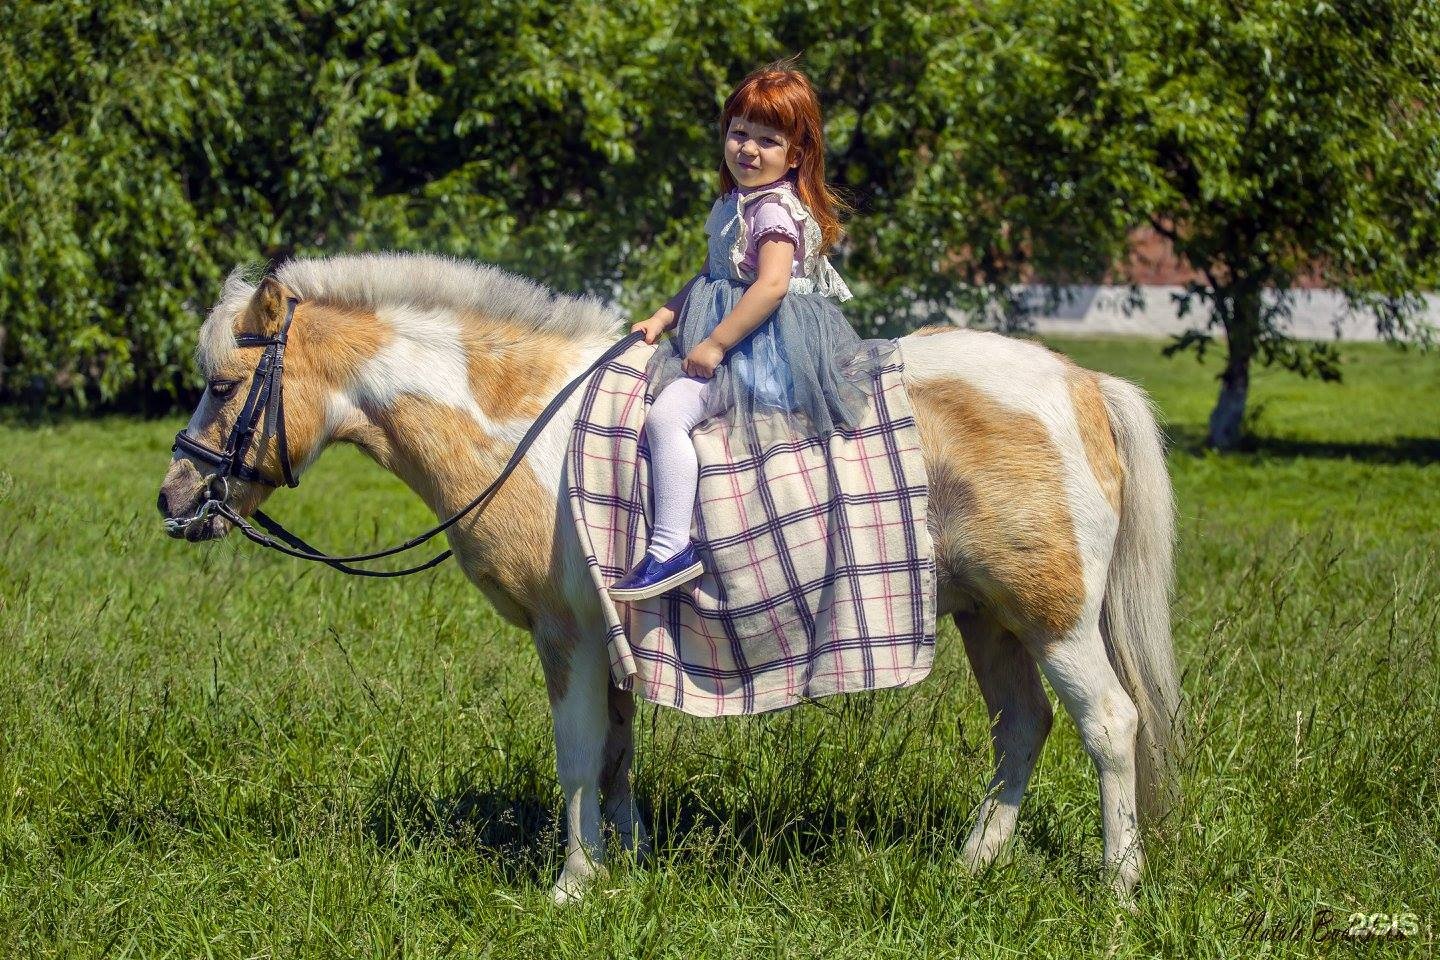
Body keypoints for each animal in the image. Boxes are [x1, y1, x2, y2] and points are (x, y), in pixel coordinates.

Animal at [160, 251, 1180, 903]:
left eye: (221, 385)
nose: (174, 499)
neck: (528, 427)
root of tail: (1081, 384)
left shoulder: (567, 636)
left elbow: (578, 753)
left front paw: (572, 886)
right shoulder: (610, 639)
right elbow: (615, 751)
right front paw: (626, 864)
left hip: (1054, 619)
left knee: (1108, 724)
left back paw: (1118, 887)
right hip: (987, 617)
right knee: (1023, 727)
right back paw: (974, 866)